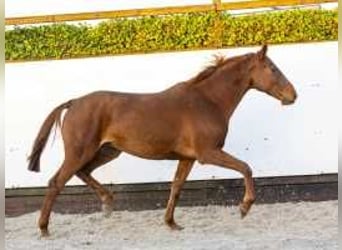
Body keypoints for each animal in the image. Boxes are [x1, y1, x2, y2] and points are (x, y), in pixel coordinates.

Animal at [28, 45, 296, 236]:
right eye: (273, 68)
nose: (293, 95)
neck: (208, 101)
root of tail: (73, 102)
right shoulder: (207, 153)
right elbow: (246, 168)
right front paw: (244, 207)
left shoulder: (187, 158)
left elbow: (176, 187)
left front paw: (171, 223)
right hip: (80, 151)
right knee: (56, 182)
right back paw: (44, 228)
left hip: (107, 151)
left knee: (83, 172)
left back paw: (107, 204)